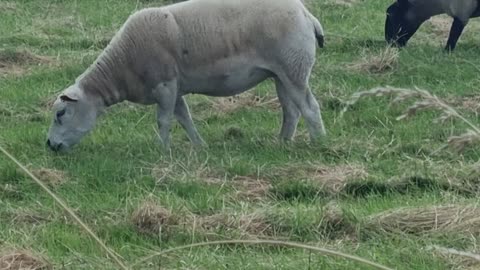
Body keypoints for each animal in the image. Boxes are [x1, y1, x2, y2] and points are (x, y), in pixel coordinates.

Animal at [46, 0, 326, 152]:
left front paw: (162, 149)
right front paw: (199, 146)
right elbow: (184, 118)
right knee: (291, 110)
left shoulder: (165, 85)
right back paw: (282, 142)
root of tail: (307, 15)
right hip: (281, 73)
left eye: (61, 114)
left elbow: (163, 120)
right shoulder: (175, 89)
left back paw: (319, 143)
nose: (49, 145)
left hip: (293, 68)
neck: (121, 66)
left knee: (310, 108)